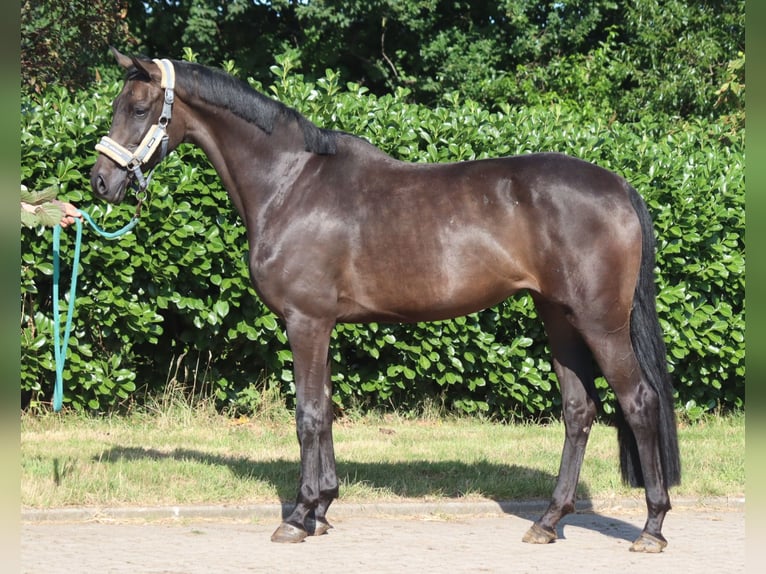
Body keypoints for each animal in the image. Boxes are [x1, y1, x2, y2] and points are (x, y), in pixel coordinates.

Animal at [91, 48, 680, 552]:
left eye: (139, 108)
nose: (100, 181)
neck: (290, 183)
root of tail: (620, 187)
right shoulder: (322, 324)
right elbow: (326, 407)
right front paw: (323, 509)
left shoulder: (305, 321)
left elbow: (308, 413)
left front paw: (299, 517)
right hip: (558, 319)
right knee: (579, 411)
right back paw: (548, 521)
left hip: (600, 324)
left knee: (639, 402)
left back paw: (651, 527)